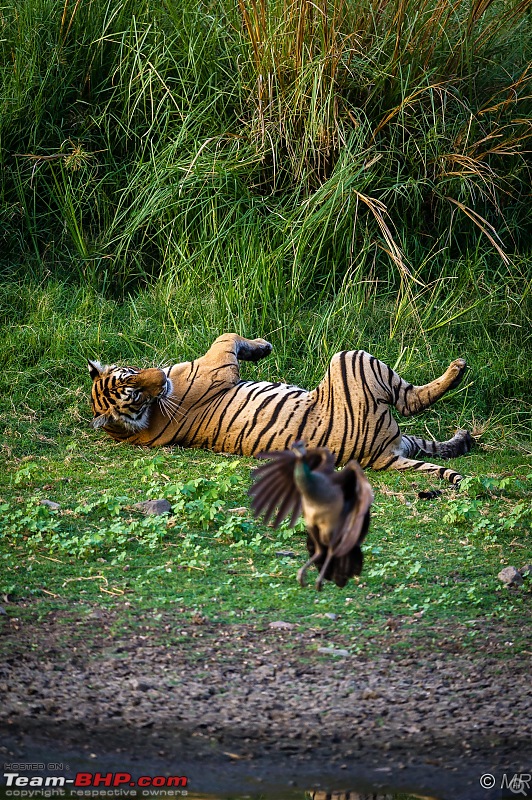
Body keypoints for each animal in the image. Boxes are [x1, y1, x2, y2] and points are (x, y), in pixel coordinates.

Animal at [88, 330, 474, 484]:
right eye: (136, 395)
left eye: (131, 379)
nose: (161, 380)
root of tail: (380, 455)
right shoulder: (218, 362)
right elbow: (229, 336)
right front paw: (262, 346)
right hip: (351, 358)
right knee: (409, 400)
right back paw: (458, 369)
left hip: (401, 437)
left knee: (430, 444)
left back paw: (464, 438)